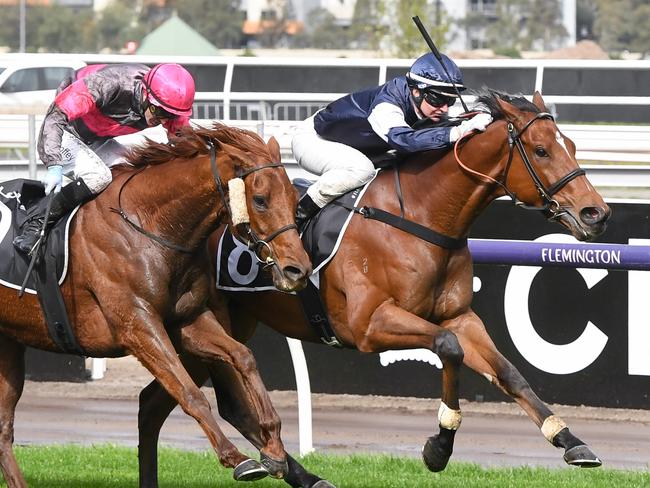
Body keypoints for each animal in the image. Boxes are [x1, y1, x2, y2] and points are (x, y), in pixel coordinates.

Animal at [0, 124, 312, 486]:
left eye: (294, 200)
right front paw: (236, 457)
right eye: (260, 201)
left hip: (9, 345)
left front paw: (273, 449)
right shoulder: (137, 326)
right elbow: (188, 391)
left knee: (3, 429)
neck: (147, 226)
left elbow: (242, 355)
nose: (298, 270)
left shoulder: (187, 320)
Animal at [135, 89, 608, 486]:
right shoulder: (369, 325)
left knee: (162, 402)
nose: (596, 213)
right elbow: (447, 347)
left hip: (223, 326)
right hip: (200, 326)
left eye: (572, 145)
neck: (419, 216)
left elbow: (508, 372)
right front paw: (439, 447)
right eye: (541, 150)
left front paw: (570, 441)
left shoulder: (460, 315)